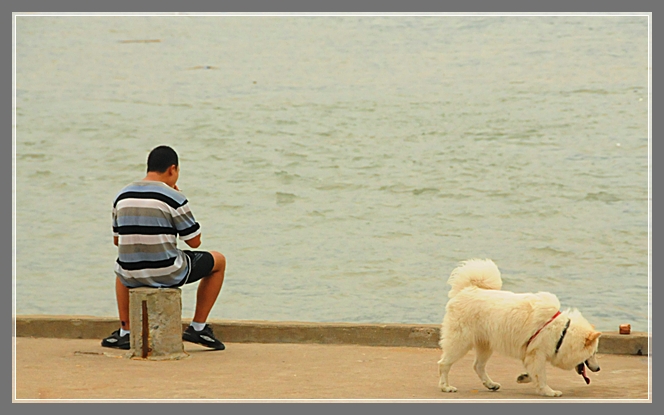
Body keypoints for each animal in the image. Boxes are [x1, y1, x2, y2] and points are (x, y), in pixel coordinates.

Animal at [436, 258, 600, 398]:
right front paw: (549, 391)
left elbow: (533, 373)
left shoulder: (530, 353)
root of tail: (466, 290)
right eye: (592, 353)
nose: (598, 368)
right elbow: (541, 376)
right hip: (460, 342)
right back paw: (446, 387)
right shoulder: (537, 353)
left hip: (485, 345)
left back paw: (490, 384)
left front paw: (524, 377)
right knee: (444, 364)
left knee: (478, 366)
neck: (562, 333)